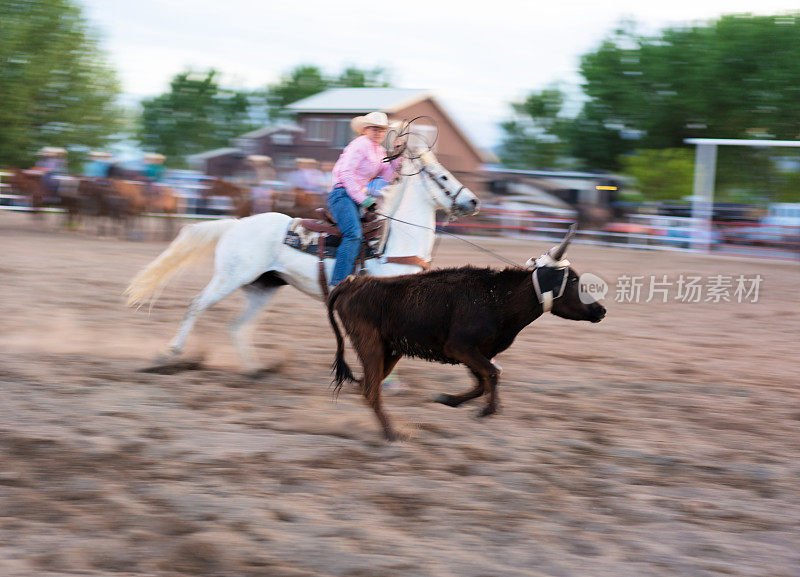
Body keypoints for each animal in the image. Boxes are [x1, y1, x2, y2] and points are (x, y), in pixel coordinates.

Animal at [122, 151, 478, 372]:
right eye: (443, 177)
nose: (473, 201)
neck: (392, 243)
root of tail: (236, 224)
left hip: (262, 288)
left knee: (237, 326)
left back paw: (255, 369)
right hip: (230, 278)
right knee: (196, 305)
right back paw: (171, 352)